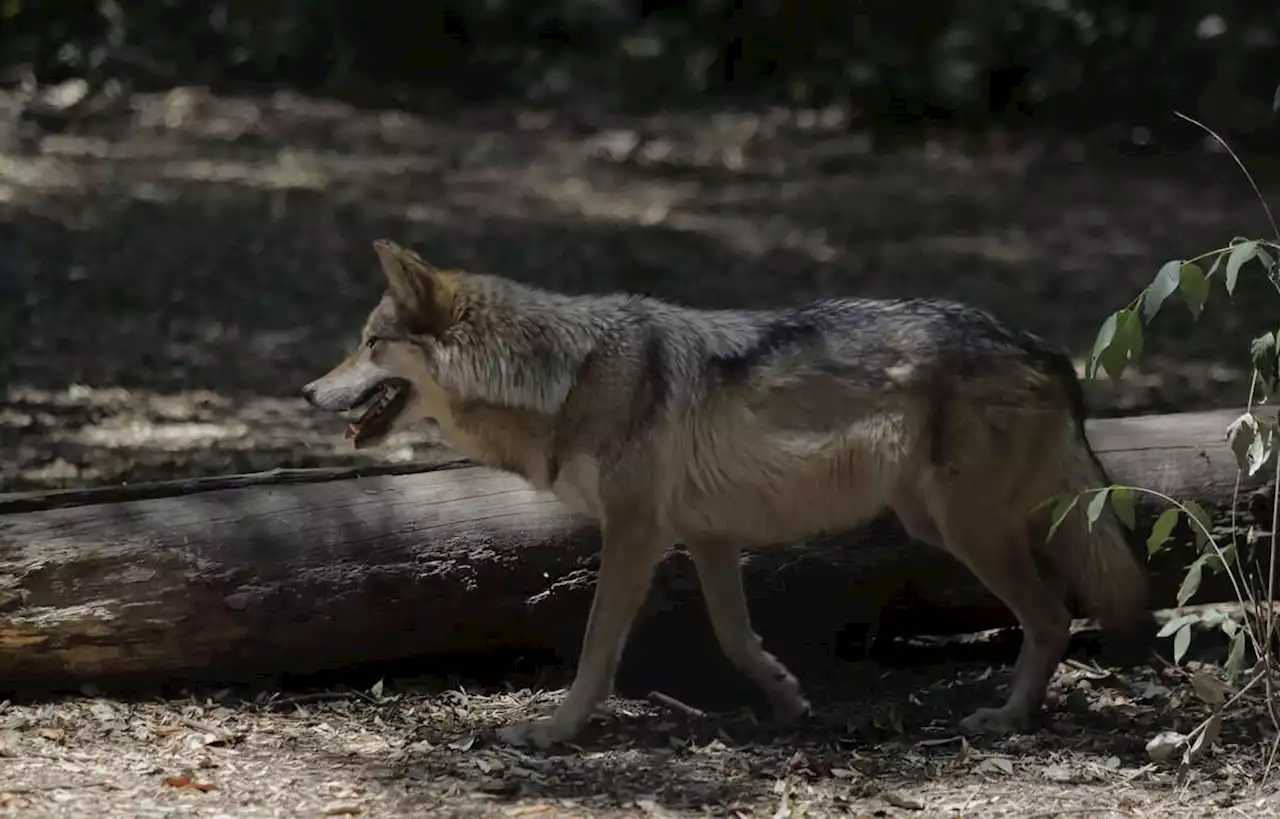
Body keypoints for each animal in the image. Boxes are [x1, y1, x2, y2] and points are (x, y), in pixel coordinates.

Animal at [299, 236, 1152, 747]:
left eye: (369, 343)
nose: (306, 391)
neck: (562, 378)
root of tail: (1045, 347)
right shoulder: (707, 534)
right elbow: (737, 635)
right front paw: (787, 701)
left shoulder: (634, 532)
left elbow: (596, 646)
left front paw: (554, 729)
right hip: (943, 520)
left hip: (965, 527)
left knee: (1053, 614)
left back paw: (1007, 716)